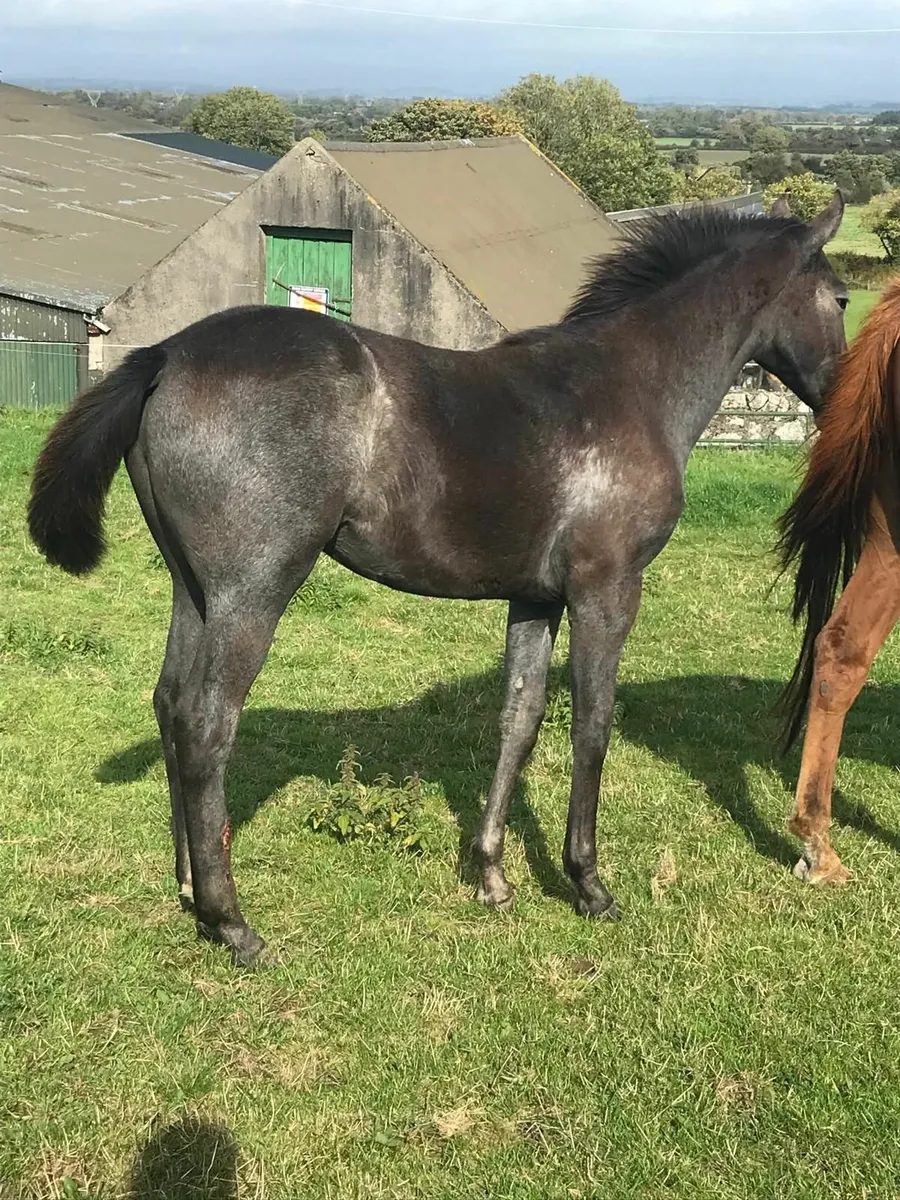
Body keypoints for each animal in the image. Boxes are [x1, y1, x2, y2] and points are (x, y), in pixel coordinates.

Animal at [28, 193, 848, 967]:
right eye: (841, 298)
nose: (840, 398)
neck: (628, 386)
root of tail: (167, 354)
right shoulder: (606, 591)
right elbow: (592, 726)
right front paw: (588, 883)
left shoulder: (535, 598)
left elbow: (519, 719)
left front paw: (492, 875)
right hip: (252, 594)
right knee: (205, 723)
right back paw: (233, 923)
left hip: (193, 592)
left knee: (169, 704)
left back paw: (191, 887)